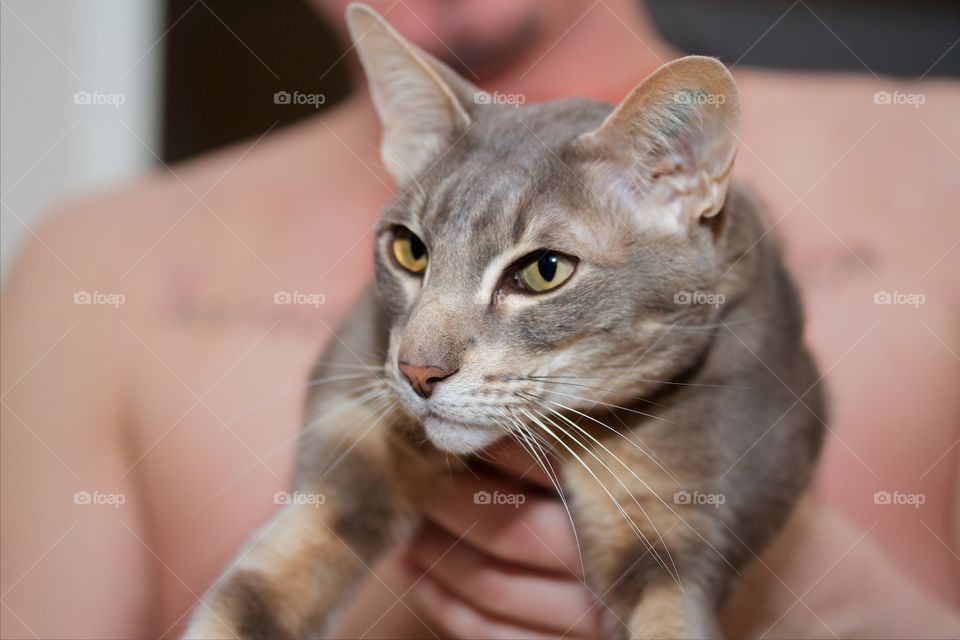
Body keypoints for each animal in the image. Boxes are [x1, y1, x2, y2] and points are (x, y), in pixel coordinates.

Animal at [186, 5, 824, 640]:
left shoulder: (683, 515)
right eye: (409, 251)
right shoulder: (352, 439)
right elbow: (252, 594)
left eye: (545, 270)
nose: (417, 371)